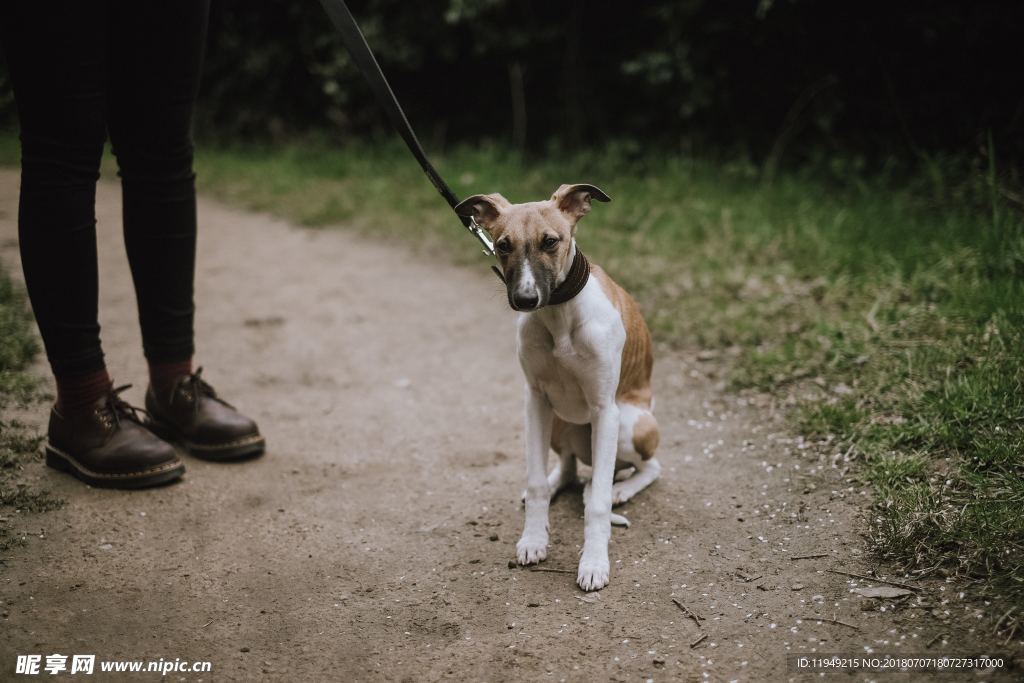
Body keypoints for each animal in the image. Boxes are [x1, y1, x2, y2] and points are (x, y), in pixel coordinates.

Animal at [456, 184, 663, 589]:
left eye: (550, 241)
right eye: (502, 245)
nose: (525, 300)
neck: (559, 315)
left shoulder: (605, 409)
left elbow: (597, 504)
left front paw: (594, 562)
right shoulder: (535, 400)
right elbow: (536, 481)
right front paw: (534, 539)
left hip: (629, 424)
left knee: (647, 468)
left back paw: (620, 488)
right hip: (558, 423)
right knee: (567, 468)